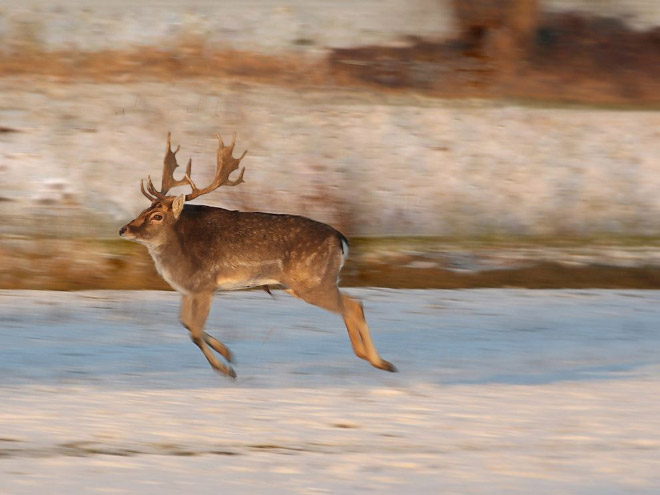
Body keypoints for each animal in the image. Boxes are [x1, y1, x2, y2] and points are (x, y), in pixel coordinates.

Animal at [119, 133, 394, 380]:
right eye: (144, 209)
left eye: (157, 216)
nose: (124, 229)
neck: (178, 258)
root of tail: (341, 239)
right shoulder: (188, 289)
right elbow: (186, 323)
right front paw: (228, 353)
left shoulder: (204, 285)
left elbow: (194, 330)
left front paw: (226, 369)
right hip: (303, 284)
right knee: (351, 305)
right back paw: (368, 357)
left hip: (313, 281)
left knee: (354, 306)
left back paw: (382, 363)